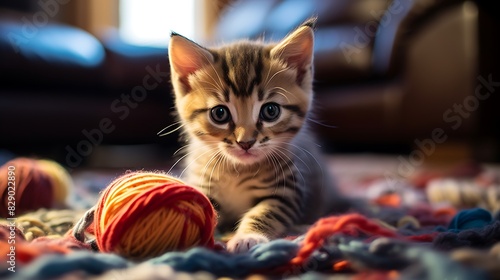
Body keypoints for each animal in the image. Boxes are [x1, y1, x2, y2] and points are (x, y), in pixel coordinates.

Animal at [168, 18, 352, 254]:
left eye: (270, 111)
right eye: (219, 113)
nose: (245, 142)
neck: (237, 170)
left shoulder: (286, 193)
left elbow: (265, 213)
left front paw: (248, 237)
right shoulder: (202, 182)